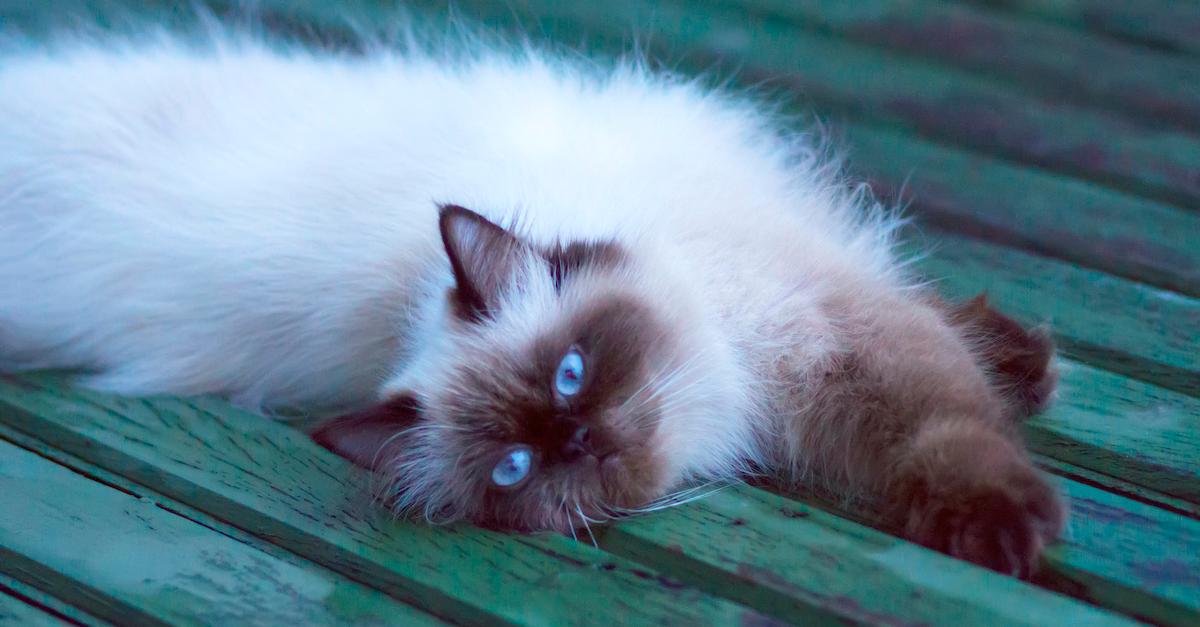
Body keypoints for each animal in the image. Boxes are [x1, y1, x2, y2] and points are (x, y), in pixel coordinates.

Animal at [0, 23, 1065, 576]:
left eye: (572, 371)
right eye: (515, 467)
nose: (580, 440)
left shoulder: (830, 320)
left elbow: (951, 415)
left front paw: (1005, 508)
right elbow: (949, 412)